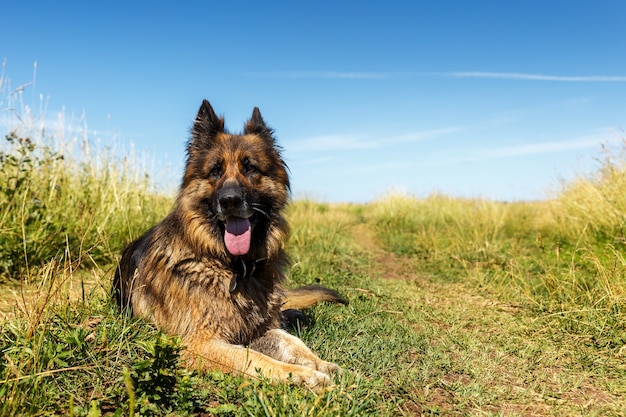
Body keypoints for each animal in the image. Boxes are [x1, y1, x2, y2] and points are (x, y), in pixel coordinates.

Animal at [113, 99, 346, 388]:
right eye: (215, 171)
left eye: (251, 168)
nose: (230, 200)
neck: (233, 267)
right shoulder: (199, 344)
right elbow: (257, 359)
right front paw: (302, 375)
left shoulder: (259, 328)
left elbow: (291, 342)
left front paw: (320, 363)